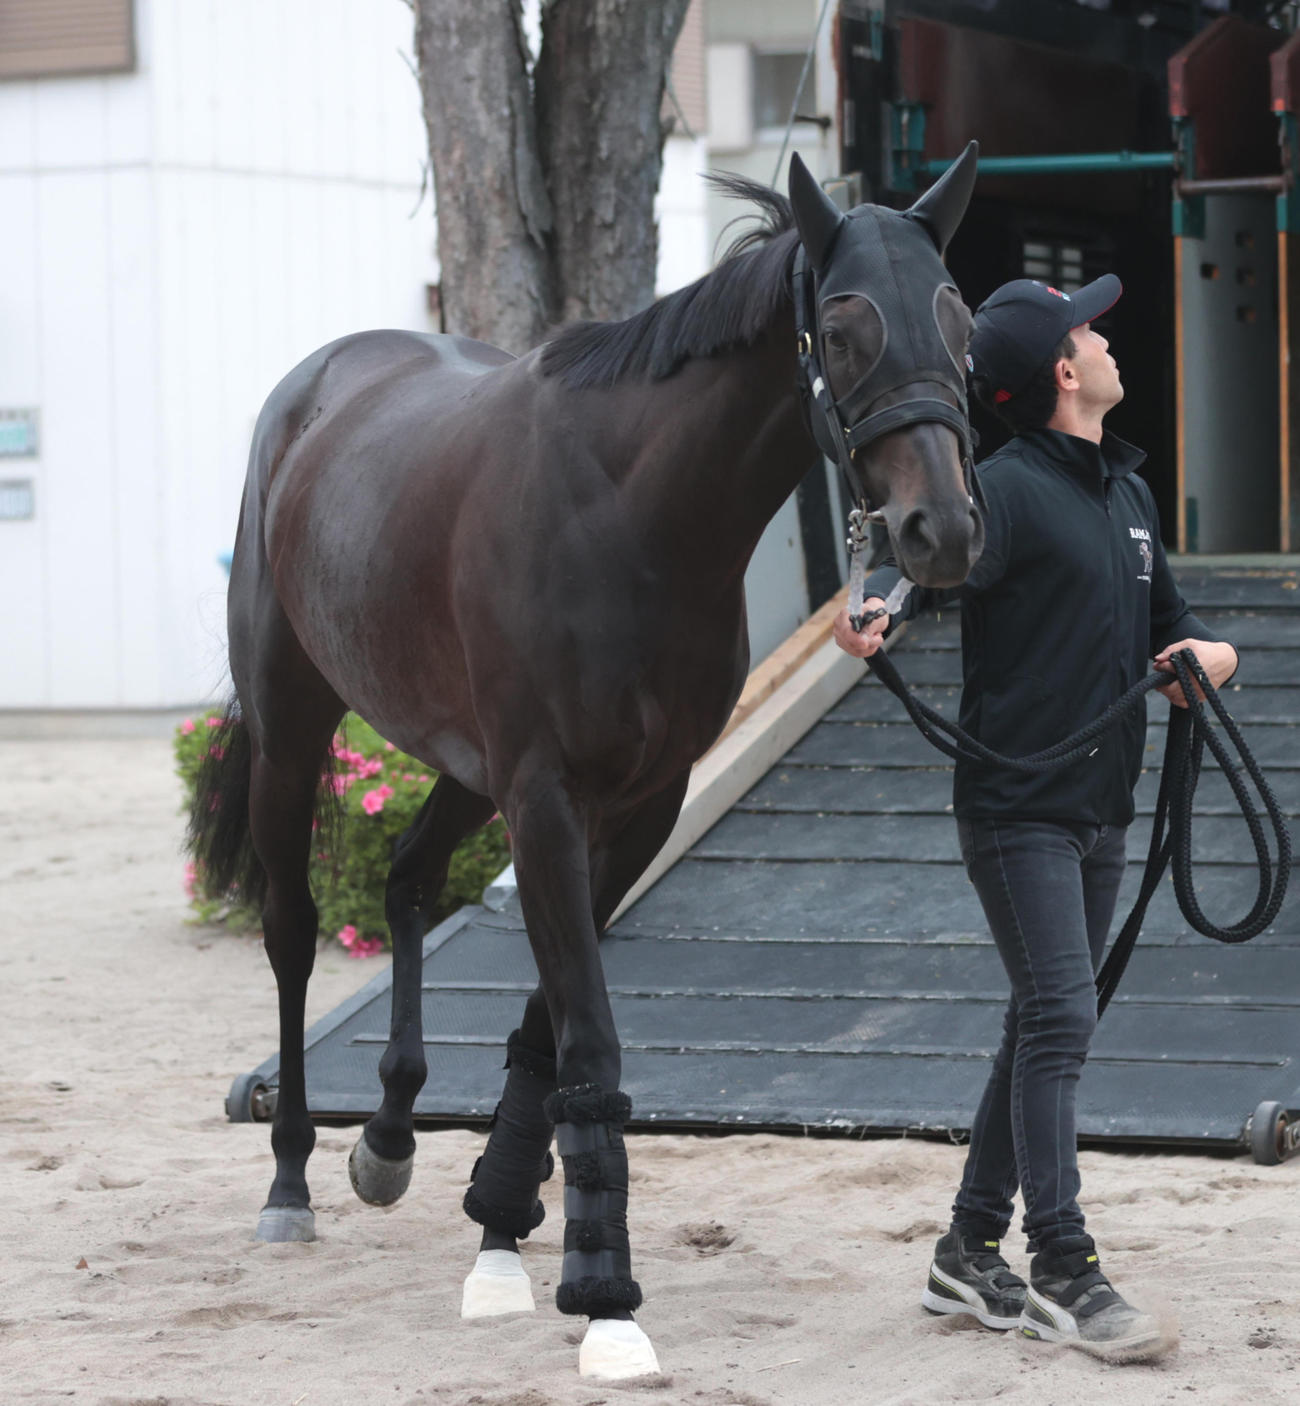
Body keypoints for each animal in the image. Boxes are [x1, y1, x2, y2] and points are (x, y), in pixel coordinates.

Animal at [188, 145, 984, 1380]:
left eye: (959, 318)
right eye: (846, 328)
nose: (938, 530)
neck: (630, 510)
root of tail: (317, 386)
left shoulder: (637, 802)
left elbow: (544, 1024)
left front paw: (504, 1224)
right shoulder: (546, 796)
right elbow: (589, 1033)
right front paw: (604, 1290)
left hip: (463, 766)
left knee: (409, 877)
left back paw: (389, 1136)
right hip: (294, 731)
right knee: (291, 931)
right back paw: (290, 1183)